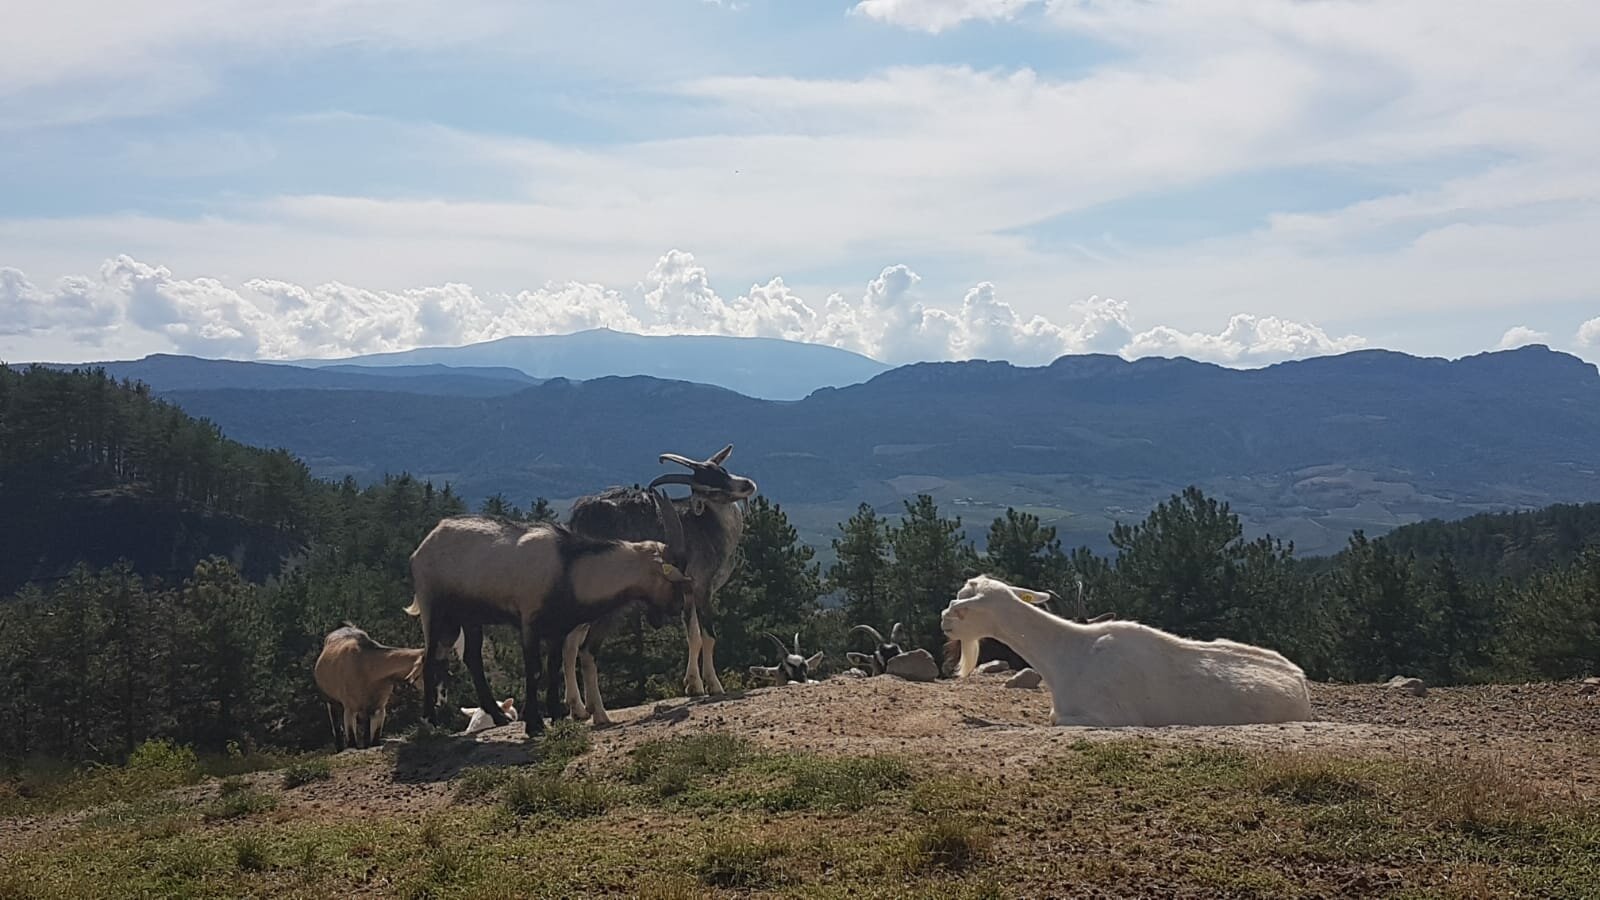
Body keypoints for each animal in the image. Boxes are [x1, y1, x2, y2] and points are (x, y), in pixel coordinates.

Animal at [934, 573, 1312, 730]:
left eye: (966, 609)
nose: (944, 621)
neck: (1069, 654)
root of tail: (1300, 680)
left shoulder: (1113, 716)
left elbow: (1056, 719)